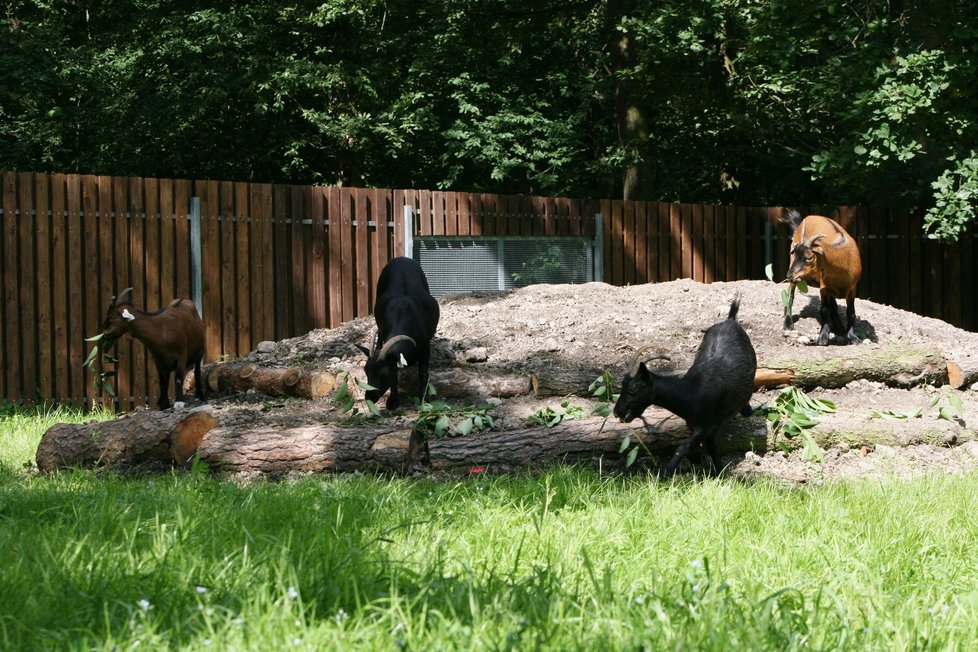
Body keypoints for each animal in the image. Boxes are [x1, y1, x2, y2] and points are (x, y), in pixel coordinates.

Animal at [354, 255, 438, 408]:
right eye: (365, 370)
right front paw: (393, 402)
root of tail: (401, 258)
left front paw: (424, 400)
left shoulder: (425, 346)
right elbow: (396, 375)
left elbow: (423, 373)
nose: (370, 397)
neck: (404, 314)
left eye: (385, 372)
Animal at [612, 298, 760, 476]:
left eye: (633, 391)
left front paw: (666, 473)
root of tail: (730, 320)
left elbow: (685, 447)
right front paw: (715, 469)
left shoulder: (706, 425)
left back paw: (746, 409)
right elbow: (707, 448)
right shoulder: (697, 425)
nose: (617, 411)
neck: (692, 392)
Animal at [780, 213, 856, 346]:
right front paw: (823, 337)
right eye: (795, 253)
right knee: (790, 294)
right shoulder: (824, 287)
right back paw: (788, 322)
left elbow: (850, 312)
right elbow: (824, 309)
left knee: (834, 304)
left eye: (809, 257)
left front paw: (852, 337)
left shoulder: (852, 289)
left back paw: (839, 326)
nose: (789, 275)